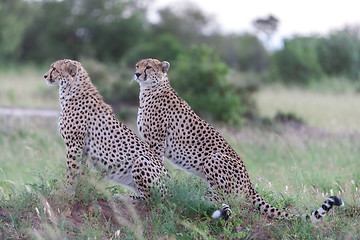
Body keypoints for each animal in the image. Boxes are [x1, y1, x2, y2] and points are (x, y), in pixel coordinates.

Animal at [43, 59, 169, 200]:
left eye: (54, 68)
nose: (45, 76)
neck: (70, 89)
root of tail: (173, 188)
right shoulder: (82, 147)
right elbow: (81, 171)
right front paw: (80, 191)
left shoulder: (74, 144)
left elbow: (71, 170)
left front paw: (68, 192)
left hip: (141, 161)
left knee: (152, 199)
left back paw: (122, 196)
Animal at [133, 57, 344, 221]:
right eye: (137, 65)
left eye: (148, 67)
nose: (137, 74)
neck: (150, 90)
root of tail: (249, 183)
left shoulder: (156, 143)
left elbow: (157, 168)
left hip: (214, 158)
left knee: (227, 198)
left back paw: (201, 197)